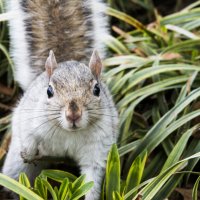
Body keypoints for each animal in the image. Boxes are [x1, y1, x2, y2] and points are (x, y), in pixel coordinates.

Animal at [2, 0, 118, 200]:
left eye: (97, 89)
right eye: (49, 91)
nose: (73, 114)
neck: (69, 133)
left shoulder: (98, 148)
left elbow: (92, 178)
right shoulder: (29, 117)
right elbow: (28, 135)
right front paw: (28, 152)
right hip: (17, 168)